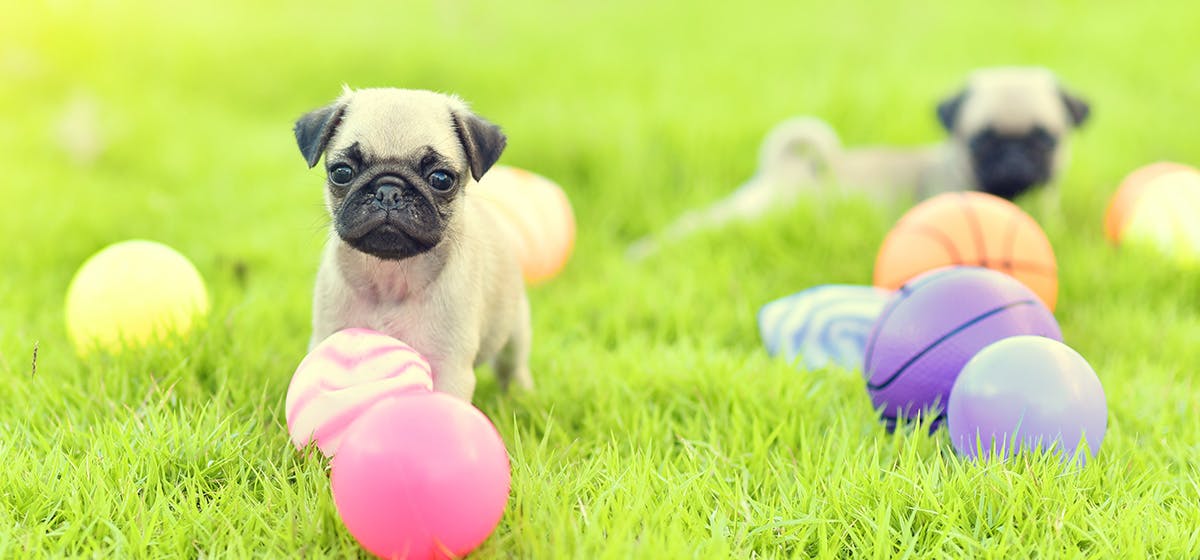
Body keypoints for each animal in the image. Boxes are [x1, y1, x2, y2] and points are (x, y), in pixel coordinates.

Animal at [292, 87, 532, 400]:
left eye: (441, 179)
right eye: (342, 172)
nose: (388, 190)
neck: (390, 277)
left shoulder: (449, 367)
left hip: (515, 329)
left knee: (513, 366)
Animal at [633, 66, 1094, 260]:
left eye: (1045, 138)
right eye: (981, 140)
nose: (1013, 157)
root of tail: (784, 167)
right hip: (757, 212)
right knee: (696, 224)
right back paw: (646, 250)